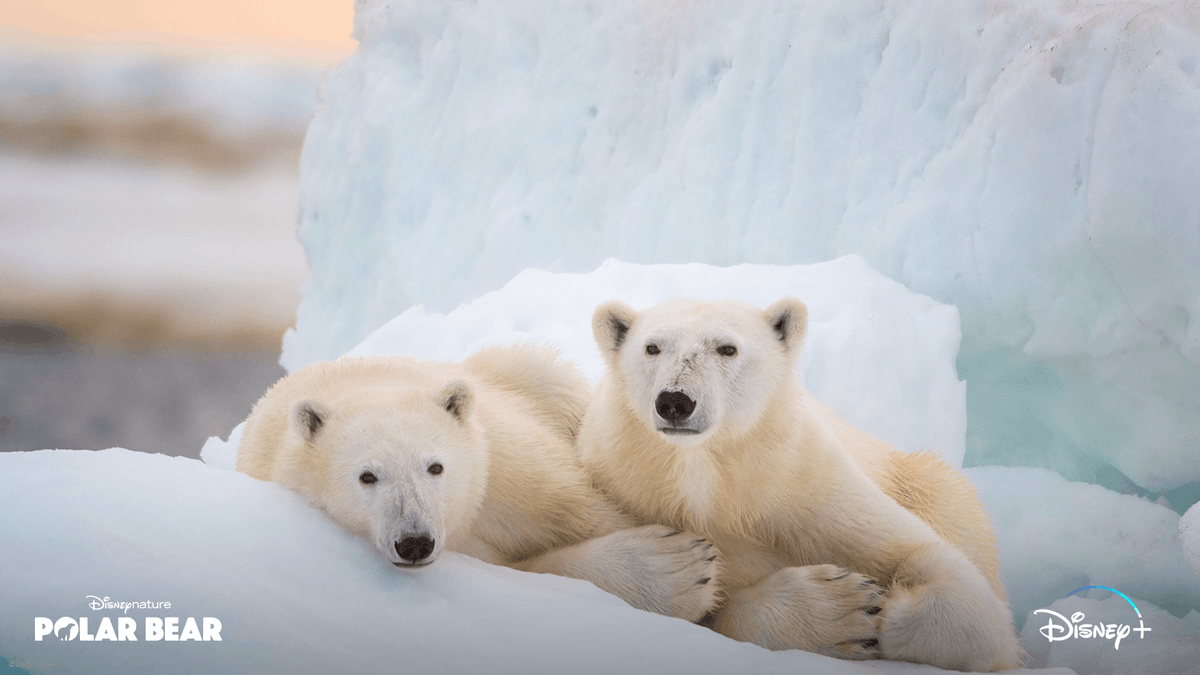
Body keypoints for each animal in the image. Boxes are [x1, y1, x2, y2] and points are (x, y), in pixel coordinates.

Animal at [236, 342, 719, 622]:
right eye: (366, 477)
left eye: (435, 467)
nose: (415, 542)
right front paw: (681, 569)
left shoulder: (508, 467)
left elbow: (588, 510)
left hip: (526, 379)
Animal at [578, 297, 1024, 672]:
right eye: (652, 348)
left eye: (727, 348)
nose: (675, 401)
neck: (707, 476)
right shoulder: (629, 486)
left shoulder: (803, 485)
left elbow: (923, 554)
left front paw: (889, 610)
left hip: (919, 480)